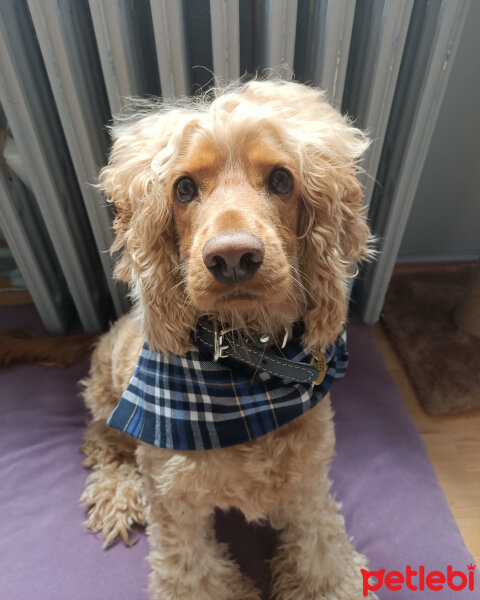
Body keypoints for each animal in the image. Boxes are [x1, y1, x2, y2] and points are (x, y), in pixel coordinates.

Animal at [80, 81, 376, 600]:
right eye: (183, 188)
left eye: (281, 179)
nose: (233, 257)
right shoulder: (173, 503)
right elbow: (194, 573)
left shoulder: (307, 481)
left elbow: (320, 546)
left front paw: (328, 581)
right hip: (106, 395)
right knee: (103, 440)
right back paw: (116, 494)